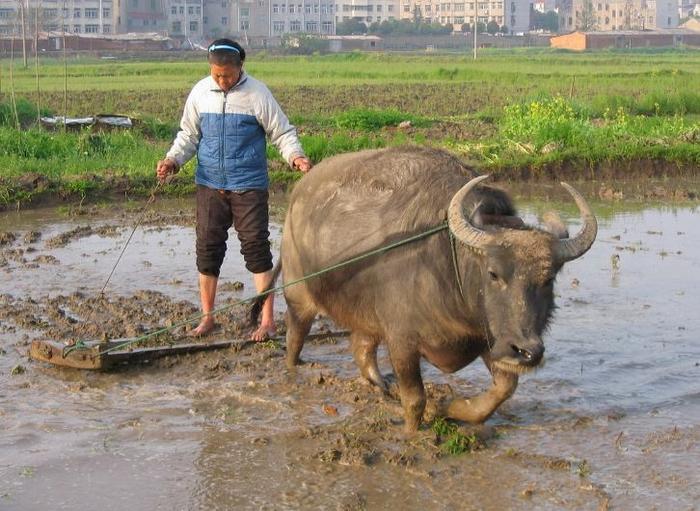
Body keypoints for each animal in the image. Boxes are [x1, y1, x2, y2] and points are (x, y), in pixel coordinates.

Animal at [258, 146, 596, 434]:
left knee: (362, 348)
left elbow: (502, 390)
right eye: (493, 273)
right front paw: (413, 432)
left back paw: (380, 386)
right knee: (296, 337)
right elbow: (415, 400)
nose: (527, 352)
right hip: (299, 296)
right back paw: (295, 370)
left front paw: (451, 408)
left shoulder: (490, 338)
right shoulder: (402, 340)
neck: (446, 261)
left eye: (548, 279)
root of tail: (299, 194)